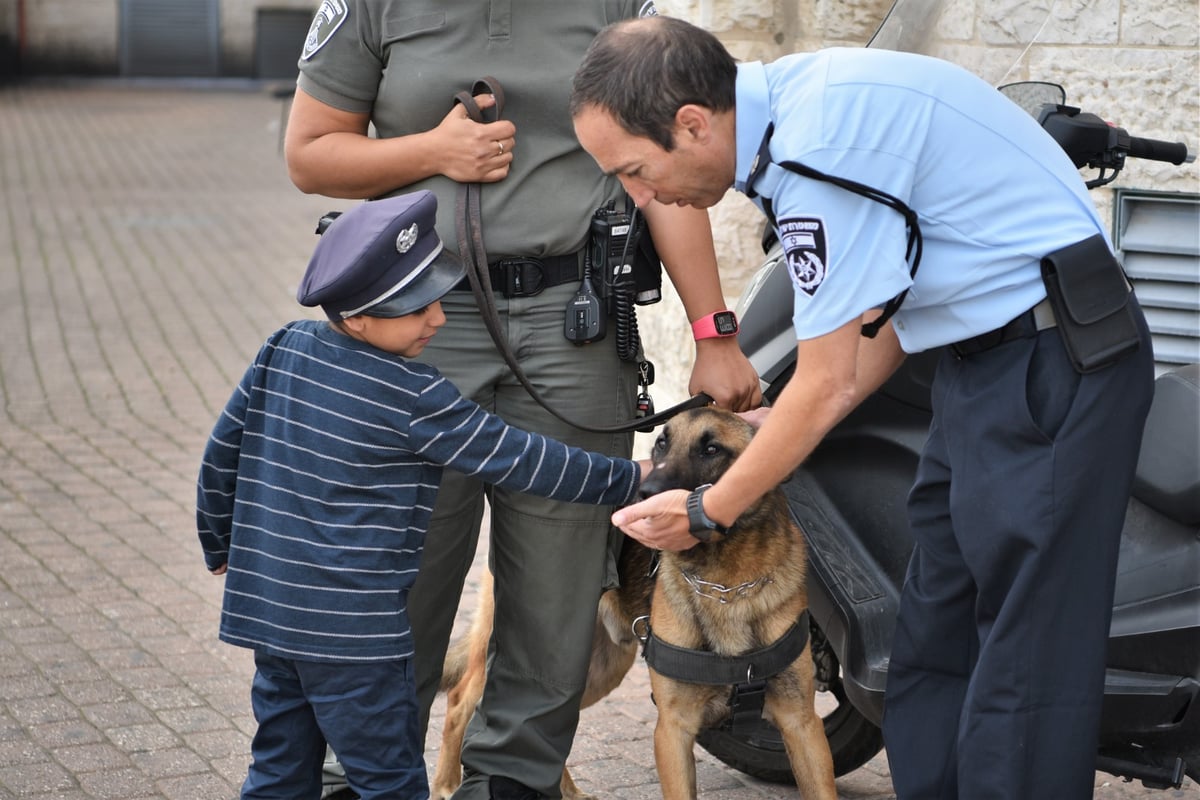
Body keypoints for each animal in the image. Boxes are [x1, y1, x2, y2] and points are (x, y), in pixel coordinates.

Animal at [432, 410, 835, 796]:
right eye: (661, 443)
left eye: (711, 449)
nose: (644, 492)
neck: (727, 584)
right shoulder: (672, 730)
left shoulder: (802, 725)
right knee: (461, 700)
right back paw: (447, 783)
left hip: (599, 668)